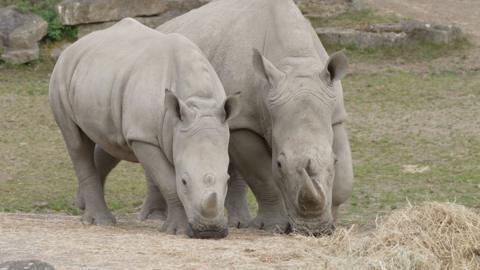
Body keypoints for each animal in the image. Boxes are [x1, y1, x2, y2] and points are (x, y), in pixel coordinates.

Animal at [48, 18, 240, 238]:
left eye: (227, 180)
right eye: (184, 181)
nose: (210, 231)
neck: (199, 101)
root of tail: (73, 46)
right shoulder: (143, 136)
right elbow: (168, 182)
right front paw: (178, 231)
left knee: (111, 143)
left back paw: (81, 206)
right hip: (61, 74)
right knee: (77, 143)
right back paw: (100, 222)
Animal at [146, 0, 352, 235]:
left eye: (333, 161)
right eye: (279, 164)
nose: (313, 231)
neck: (295, 62)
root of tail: (164, 26)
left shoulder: (335, 115)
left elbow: (345, 179)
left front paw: (332, 222)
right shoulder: (243, 123)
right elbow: (263, 176)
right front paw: (274, 226)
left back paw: (238, 223)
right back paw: (154, 219)